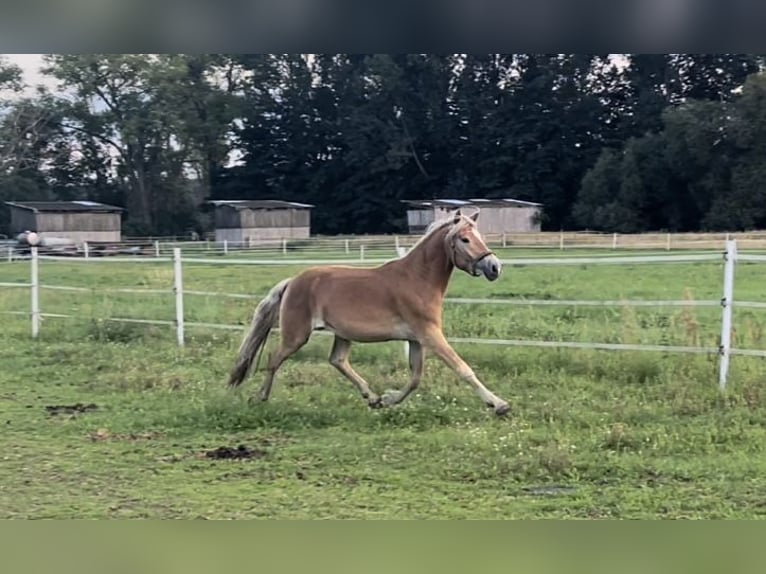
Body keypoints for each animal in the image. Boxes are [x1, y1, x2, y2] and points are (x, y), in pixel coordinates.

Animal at [230, 209, 516, 416]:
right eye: (465, 239)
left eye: (481, 238)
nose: (494, 267)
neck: (418, 279)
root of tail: (292, 281)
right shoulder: (430, 334)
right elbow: (462, 368)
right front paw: (499, 404)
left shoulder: (415, 339)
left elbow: (415, 378)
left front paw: (387, 399)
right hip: (296, 336)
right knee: (274, 359)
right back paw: (260, 397)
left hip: (342, 334)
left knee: (337, 360)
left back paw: (372, 397)